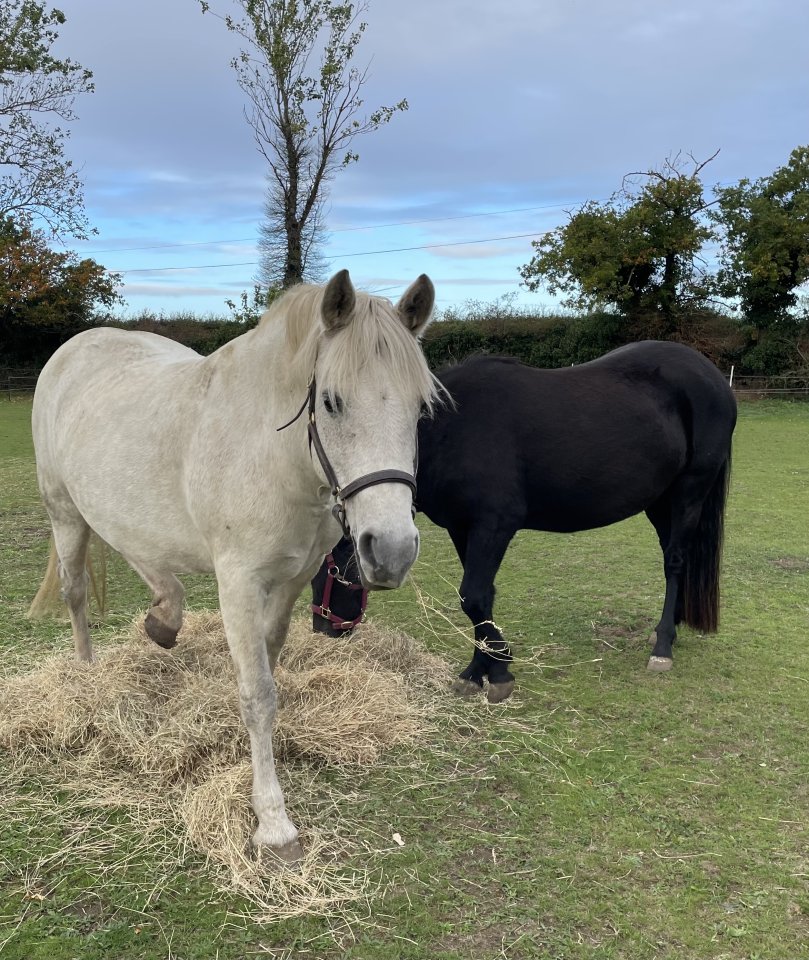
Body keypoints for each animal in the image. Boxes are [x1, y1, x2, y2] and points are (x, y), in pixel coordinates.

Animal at [28, 269, 439, 861]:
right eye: (331, 402)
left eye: (420, 409)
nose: (391, 550)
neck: (274, 454)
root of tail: (73, 348)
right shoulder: (239, 583)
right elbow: (259, 694)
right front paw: (273, 821)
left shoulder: (290, 582)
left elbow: (265, 670)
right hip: (64, 511)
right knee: (76, 590)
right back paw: (87, 676)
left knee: (140, 552)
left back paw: (163, 616)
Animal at [311, 342, 737, 703]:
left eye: (330, 572)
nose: (323, 631)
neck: (451, 429)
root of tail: (712, 377)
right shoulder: (463, 528)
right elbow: (479, 599)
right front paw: (480, 670)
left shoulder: (495, 525)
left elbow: (474, 596)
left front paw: (498, 671)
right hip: (660, 503)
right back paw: (671, 628)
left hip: (689, 493)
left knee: (675, 561)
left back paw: (663, 646)